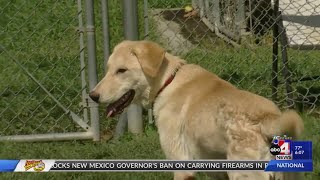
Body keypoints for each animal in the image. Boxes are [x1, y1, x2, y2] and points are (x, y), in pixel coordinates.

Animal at [89, 40, 304, 180]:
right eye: (108, 69)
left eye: (122, 70)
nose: (92, 96)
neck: (167, 83)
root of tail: (268, 118)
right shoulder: (215, 170)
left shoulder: (181, 165)